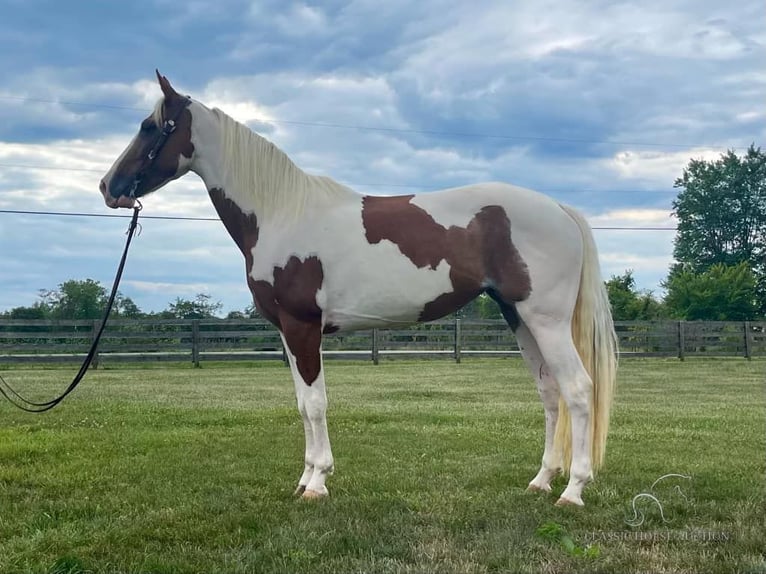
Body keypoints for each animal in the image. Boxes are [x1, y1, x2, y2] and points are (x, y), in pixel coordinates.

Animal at [100, 72, 616, 508]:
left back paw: (572, 491)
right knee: (550, 393)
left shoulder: (303, 327)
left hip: (546, 320)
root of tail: (559, 209)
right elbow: (302, 405)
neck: (280, 212)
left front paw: (318, 484)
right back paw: (541, 480)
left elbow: (315, 403)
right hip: (518, 317)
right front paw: (305, 479)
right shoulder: (288, 333)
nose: (108, 186)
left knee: (577, 390)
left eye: (150, 127)